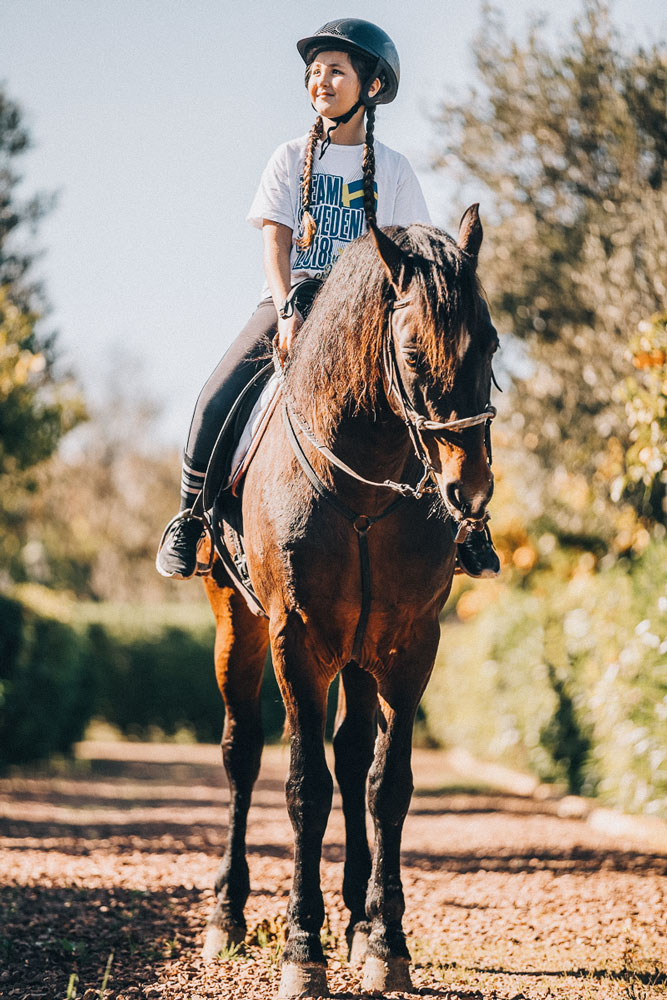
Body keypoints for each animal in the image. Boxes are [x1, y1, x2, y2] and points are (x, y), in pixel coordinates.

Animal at [201, 207, 498, 996]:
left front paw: (385, 941)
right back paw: (228, 915)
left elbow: (384, 785)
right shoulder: (295, 641)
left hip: (362, 657)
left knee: (353, 754)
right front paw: (302, 949)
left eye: (490, 343)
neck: (362, 486)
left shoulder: (409, 645)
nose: (468, 492)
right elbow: (304, 790)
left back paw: (358, 921)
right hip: (237, 627)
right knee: (242, 753)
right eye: (413, 354)